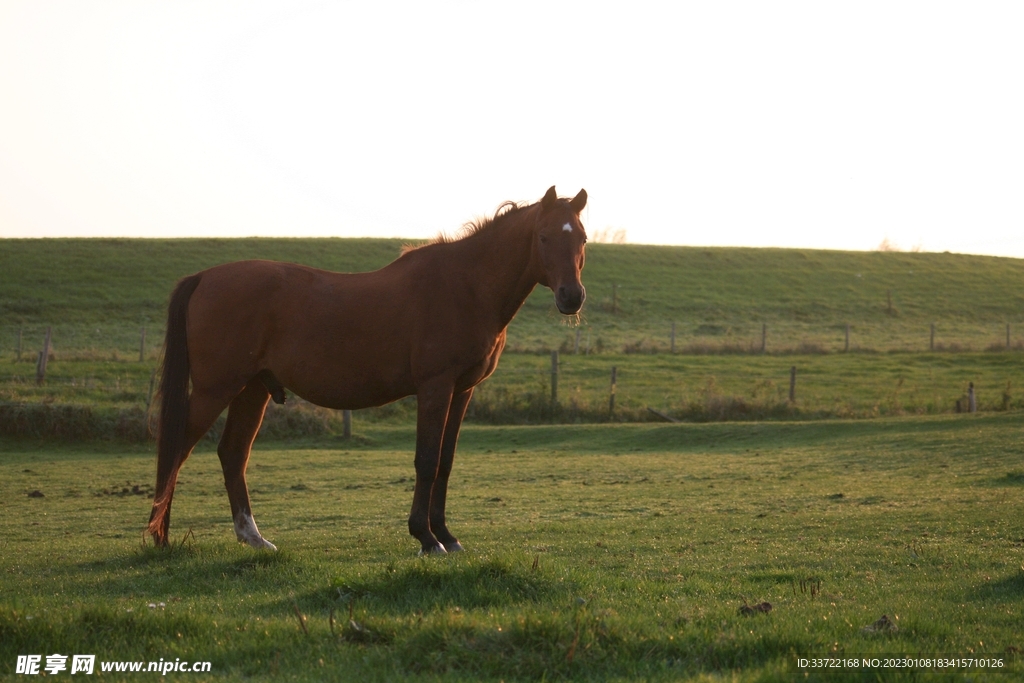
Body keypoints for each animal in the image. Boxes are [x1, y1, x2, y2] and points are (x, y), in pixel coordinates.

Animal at [147, 187, 589, 557]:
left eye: (582, 238)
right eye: (544, 237)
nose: (572, 297)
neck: (466, 285)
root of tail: (204, 277)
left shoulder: (462, 391)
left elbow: (445, 462)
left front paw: (447, 536)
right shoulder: (435, 387)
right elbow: (427, 460)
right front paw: (426, 538)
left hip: (252, 390)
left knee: (233, 454)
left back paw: (253, 537)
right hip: (215, 390)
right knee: (177, 447)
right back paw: (159, 536)